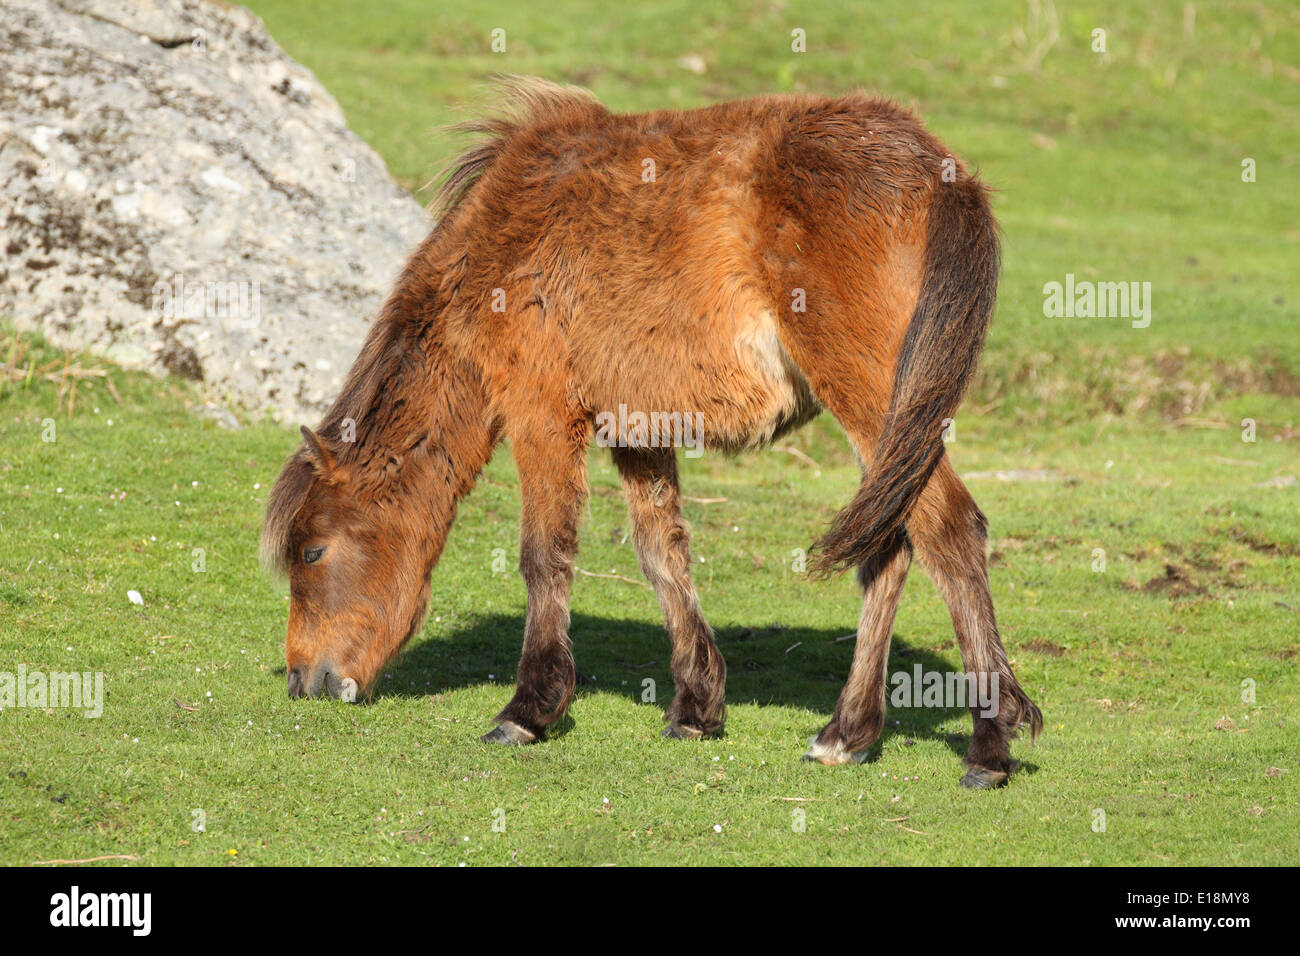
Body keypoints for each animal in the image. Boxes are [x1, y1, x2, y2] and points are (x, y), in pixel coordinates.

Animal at [261, 77, 1042, 788]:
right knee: (890, 551)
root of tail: (941, 171)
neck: (502, 245)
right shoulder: (636, 430)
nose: (304, 681)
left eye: (312, 551)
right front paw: (697, 705)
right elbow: (661, 553)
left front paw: (528, 709)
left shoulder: (542, 415)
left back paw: (987, 747)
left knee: (949, 530)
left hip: (875, 401)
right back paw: (846, 734)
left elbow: (545, 556)